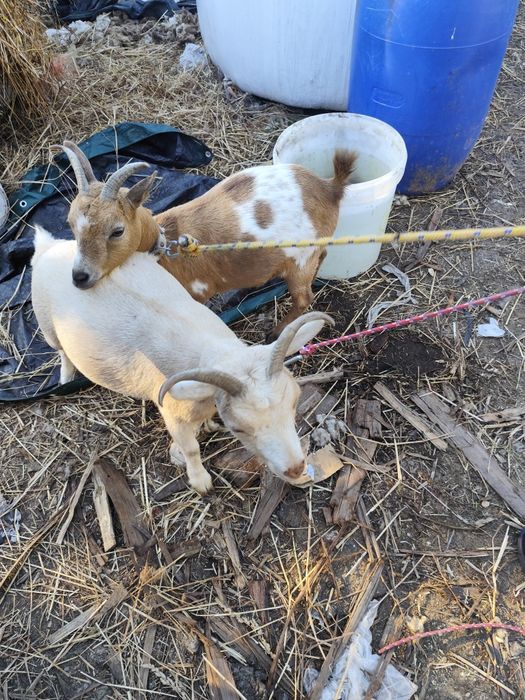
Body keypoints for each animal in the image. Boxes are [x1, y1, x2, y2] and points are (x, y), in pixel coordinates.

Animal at [31, 226, 334, 494]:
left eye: (295, 401)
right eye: (238, 428)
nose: (295, 469)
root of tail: (48, 246)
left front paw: (208, 424)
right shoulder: (171, 410)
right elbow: (190, 448)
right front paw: (200, 482)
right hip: (46, 323)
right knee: (61, 351)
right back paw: (66, 376)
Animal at [59, 141, 356, 338]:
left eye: (117, 231)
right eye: (70, 224)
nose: (79, 277)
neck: (165, 246)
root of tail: (330, 187)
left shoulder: (197, 293)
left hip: (300, 259)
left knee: (304, 298)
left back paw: (276, 331)